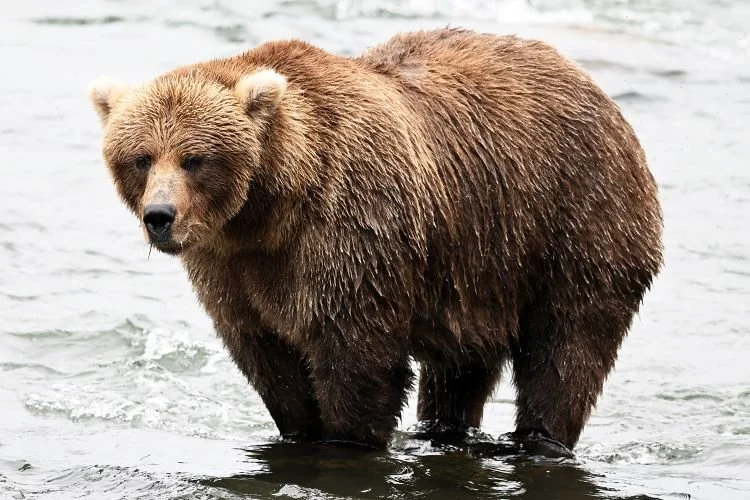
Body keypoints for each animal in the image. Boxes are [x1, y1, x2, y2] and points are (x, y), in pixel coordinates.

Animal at [88, 28, 663, 451]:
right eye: (141, 157)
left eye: (194, 158)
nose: (160, 216)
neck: (270, 209)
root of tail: (595, 88)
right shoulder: (231, 266)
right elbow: (268, 357)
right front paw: (298, 429)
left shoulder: (350, 230)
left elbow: (358, 358)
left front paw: (347, 440)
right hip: (479, 263)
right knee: (461, 365)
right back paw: (443, 431)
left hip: (575, 219)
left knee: (567, 347)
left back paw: (539, 439)